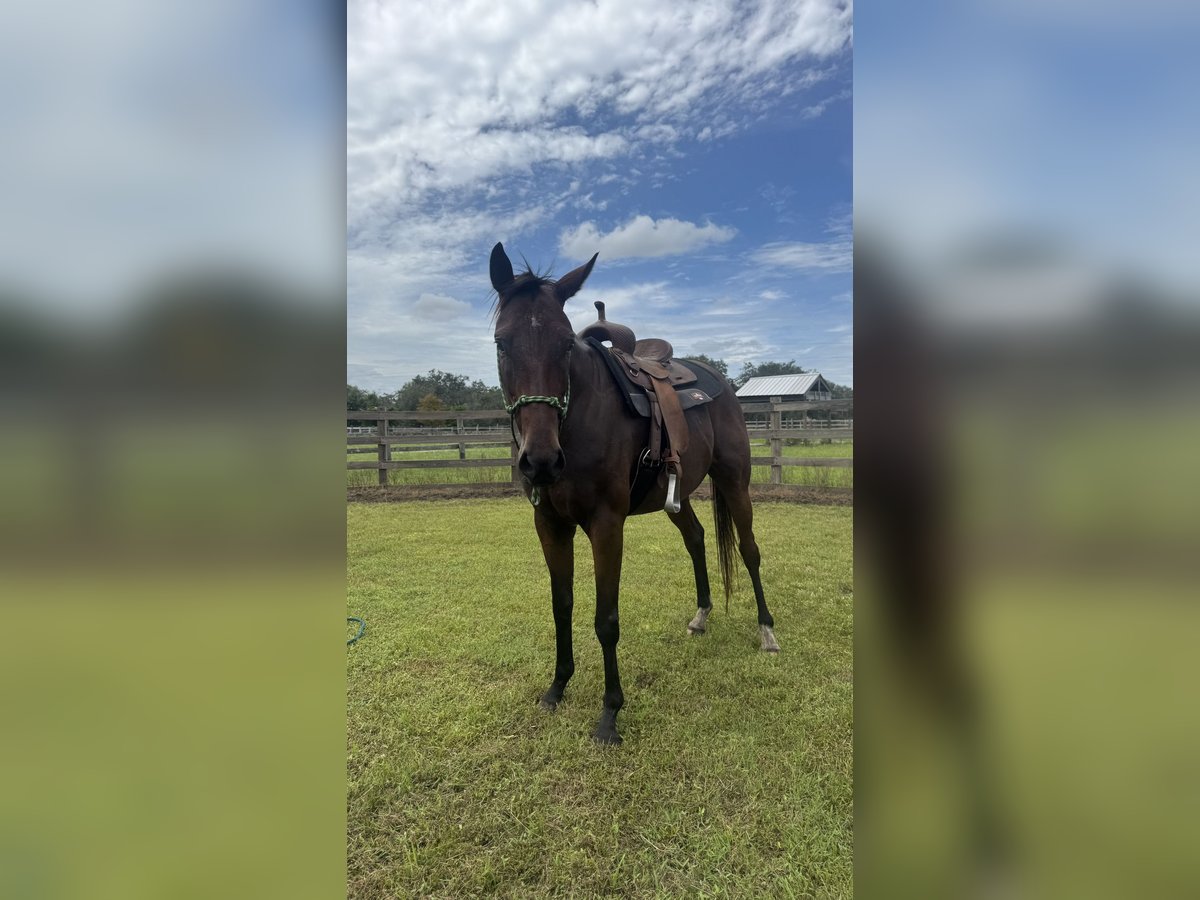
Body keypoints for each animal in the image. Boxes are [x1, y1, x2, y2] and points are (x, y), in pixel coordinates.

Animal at [489, 241, 778, 745]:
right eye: (501, 343)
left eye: (566, 344)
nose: (541, 460)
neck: (578, 420)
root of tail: (717, 379)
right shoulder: (549, 523)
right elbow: (561, 605)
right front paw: (557, 687)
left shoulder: (607, 525)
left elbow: (606, 619)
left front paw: (609, 714)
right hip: (675, 497)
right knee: (697, 538)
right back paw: (701, 615)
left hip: (734, 481)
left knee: (749, 549)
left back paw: (766, 630)